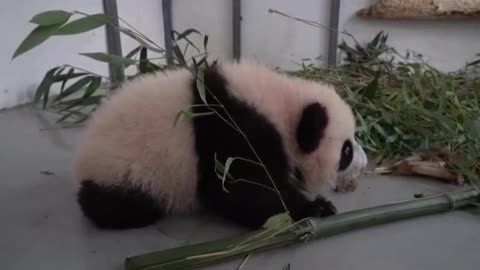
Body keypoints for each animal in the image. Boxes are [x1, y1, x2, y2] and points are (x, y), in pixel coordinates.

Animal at [74, 60, 368, 230]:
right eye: (346, 151)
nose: (365, 164)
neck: (283, 107)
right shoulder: (236, 131)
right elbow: (237, 189)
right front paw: (315, 207)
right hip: (125, 170)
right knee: (117, 205)